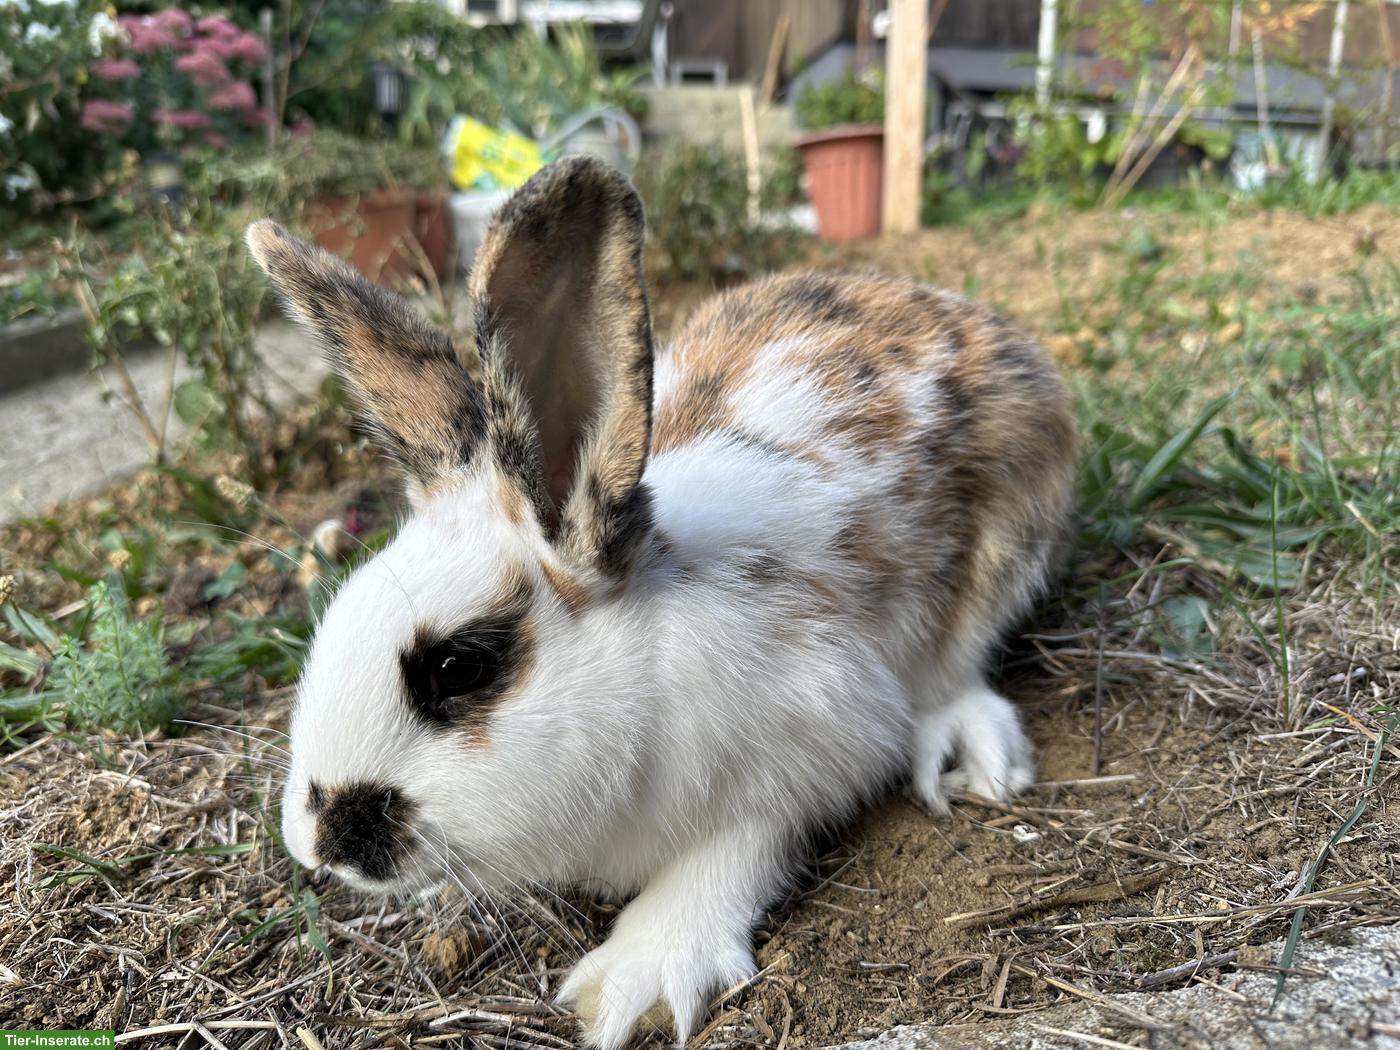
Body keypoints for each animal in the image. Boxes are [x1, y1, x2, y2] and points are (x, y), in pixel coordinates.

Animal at [249, 155, 1075, 1050]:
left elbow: (732, 855)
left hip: (1008, 548)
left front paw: (633, 984)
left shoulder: (816, 746)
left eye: (459, 667)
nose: (314, 842)